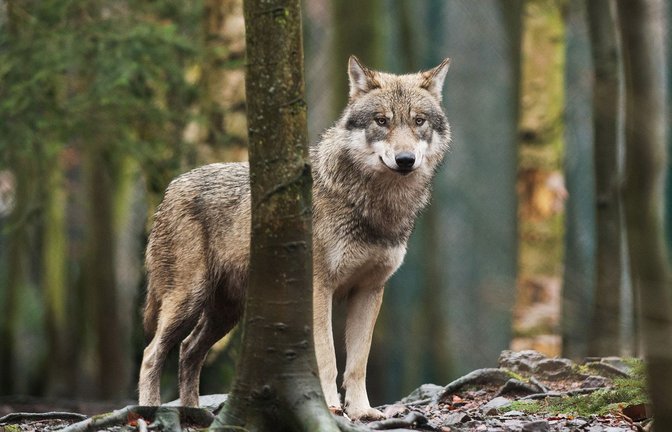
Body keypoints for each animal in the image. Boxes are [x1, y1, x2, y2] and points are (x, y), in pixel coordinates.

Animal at [138, 56, 451, 420]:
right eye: (381, 121)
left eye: (418, 121)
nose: (405, 160)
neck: (374, 206)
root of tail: (171, 188)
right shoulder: (319, 289)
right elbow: (327, 358)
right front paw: (330, 408)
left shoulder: (370, 291)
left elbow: (358, 363)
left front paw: (362, 411)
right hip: (188, 301)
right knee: (152, 353)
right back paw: (149, 411)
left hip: (225, 313)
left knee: (188, 351)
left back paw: (193, 414)